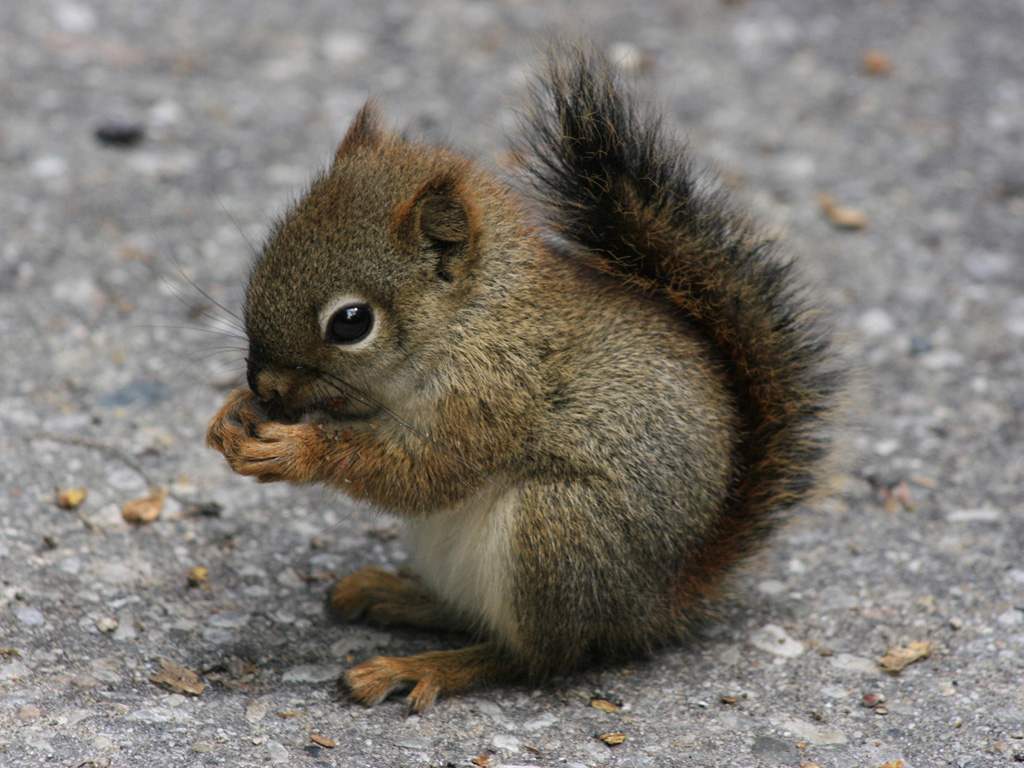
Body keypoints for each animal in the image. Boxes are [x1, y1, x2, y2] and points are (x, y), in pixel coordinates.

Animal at [205, 44, 842, 712]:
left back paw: (424, 666)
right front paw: (232, 416)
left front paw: (295, 450)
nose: (266, 385)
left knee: (535, 657)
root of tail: (655, 604)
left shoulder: (494, 394)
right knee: (471, 616)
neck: (472, 319)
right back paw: (395, 594)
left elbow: (426, 472)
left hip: (557, 531)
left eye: (351, 322)